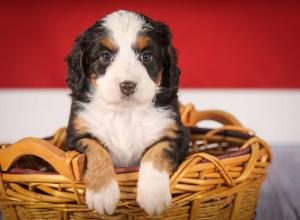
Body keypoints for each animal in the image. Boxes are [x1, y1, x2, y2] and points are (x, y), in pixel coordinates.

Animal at [65, 9, 189, 215]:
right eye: (105, 56)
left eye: (146, 56)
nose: (128, 85)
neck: (124, 112)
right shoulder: (77, 136)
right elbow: (95, 149)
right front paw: (102, 194)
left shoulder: (176, 135)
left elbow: (157, 151)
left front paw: (153, 196)